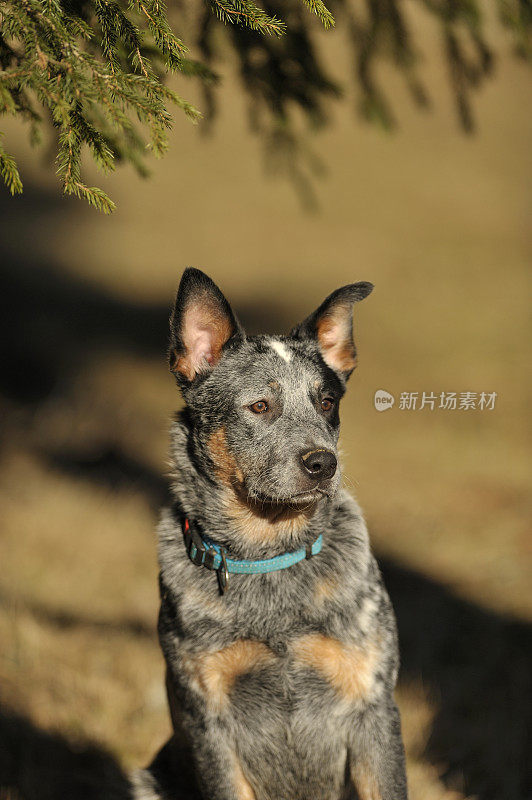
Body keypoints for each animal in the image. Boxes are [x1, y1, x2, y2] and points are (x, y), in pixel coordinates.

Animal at [141, 270, 408, 800]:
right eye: (260, 406)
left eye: (326, 402)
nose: (324, 463)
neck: (269, 556)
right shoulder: (208, 718)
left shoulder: (372, 703)